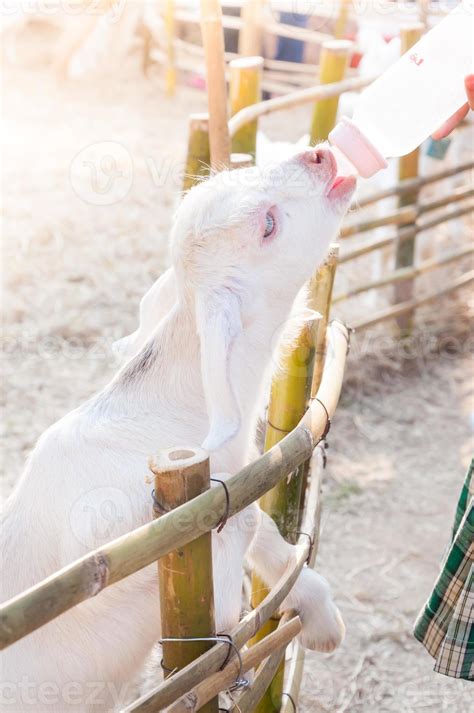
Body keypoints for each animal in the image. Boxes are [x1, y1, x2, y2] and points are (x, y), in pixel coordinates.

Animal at [1, 147, 356, 712]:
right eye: (268, 226)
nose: (318, 154)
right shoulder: (96, 541)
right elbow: (242, 533)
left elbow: (265, 528)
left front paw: (326, 626)